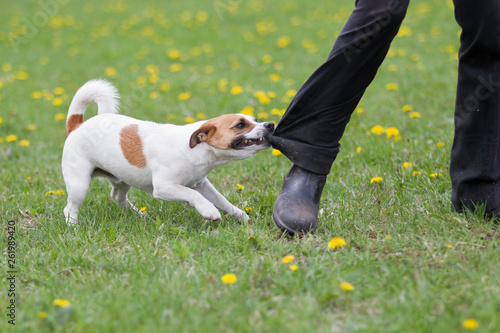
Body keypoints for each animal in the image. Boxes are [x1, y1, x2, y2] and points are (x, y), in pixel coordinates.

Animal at [61, 79, 278, 223]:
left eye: (255, 120)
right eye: (240, 125)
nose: (270, 125)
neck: (195, 151)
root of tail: (77, 125)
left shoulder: (202, 184)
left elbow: (222, 200)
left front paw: (240, 215)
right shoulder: (164, 187)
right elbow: (193, 195)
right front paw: (208, 210)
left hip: (122, 180)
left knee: (117, 197)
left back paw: (136, 215)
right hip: (79, 184)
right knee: (69, 208)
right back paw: (74, 227)